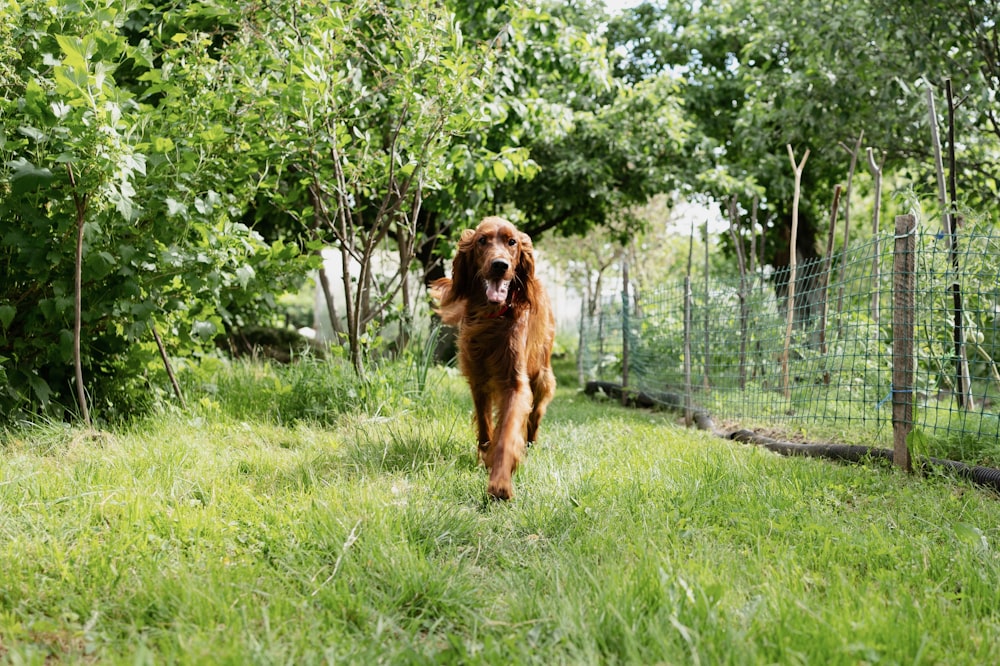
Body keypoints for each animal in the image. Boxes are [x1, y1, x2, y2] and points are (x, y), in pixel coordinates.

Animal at [430, 215, 556, 496]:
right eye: (482, 241)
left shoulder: (515, 382)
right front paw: (485, 458)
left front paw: (499, 482)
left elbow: (507, 434)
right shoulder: (477, 378)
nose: (500, 265)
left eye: (512, 242)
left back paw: (531, 445)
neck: (492, 318)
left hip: (542, 376)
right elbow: (486, 426)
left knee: (536, 416)